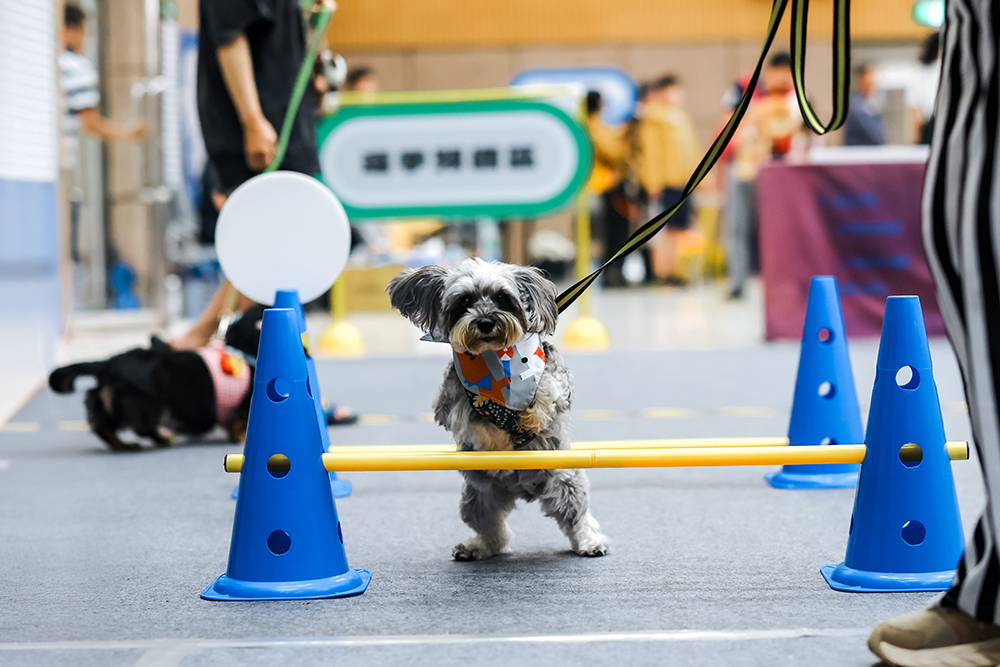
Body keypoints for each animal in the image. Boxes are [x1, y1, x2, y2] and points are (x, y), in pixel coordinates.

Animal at [47, 306, 266, 452]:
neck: (242, 350)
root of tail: (110, 363)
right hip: (148, 406)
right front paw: (241, 438)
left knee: (103, 428)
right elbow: (241, 426)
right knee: (142, 428)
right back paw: (163, 438)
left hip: (107, 404)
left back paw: (125, 445)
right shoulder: (243, 408)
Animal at [388, 258, 608, 560]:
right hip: (477, 499)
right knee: (493, 530)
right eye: (464, 300)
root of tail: (524, 489)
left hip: (566, 483)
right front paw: (498, 447)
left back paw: (590, 542)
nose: (485, 322)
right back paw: (475, 547)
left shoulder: (557, 380)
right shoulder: (452, 402)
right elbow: (477, 422)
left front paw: (532, 418)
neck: (495, 362)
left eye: (503, 298)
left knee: (577, 518)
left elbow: (545, 388)